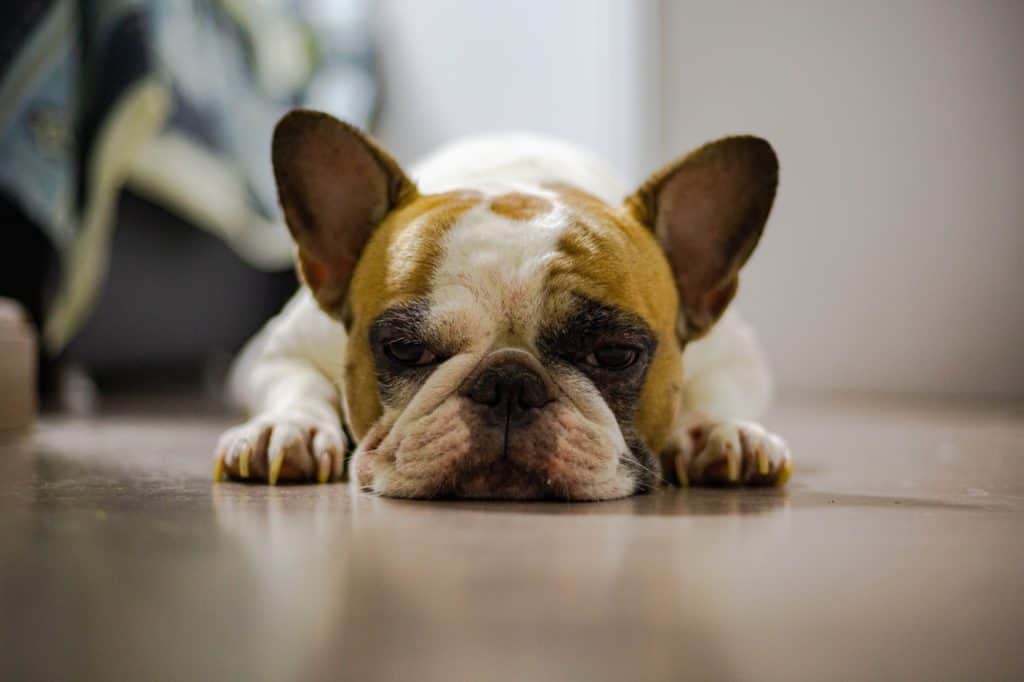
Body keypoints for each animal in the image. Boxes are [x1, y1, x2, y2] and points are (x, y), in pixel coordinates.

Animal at [214, 109, 790, 497]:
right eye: (404, 349)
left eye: (613, 355)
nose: (509, 383)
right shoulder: (288, 348)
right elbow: (294, 382)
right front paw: (287, 429)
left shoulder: (732, 353)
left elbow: (719, 390)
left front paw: (718, 431)